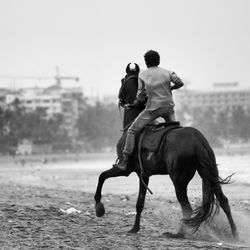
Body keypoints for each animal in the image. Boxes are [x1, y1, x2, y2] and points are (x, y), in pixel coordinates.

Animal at [94, 95, 238, 238]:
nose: (121, 100)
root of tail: (196, 139)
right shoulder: (143, 174)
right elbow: (140, 202)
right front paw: (135, 228)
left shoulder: (125, 170)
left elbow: (102, 176)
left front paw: (99, 207)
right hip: (209, 173)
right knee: (224, 201)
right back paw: (235, 233)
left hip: (179, 181)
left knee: (187, 208)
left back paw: (179, 233)